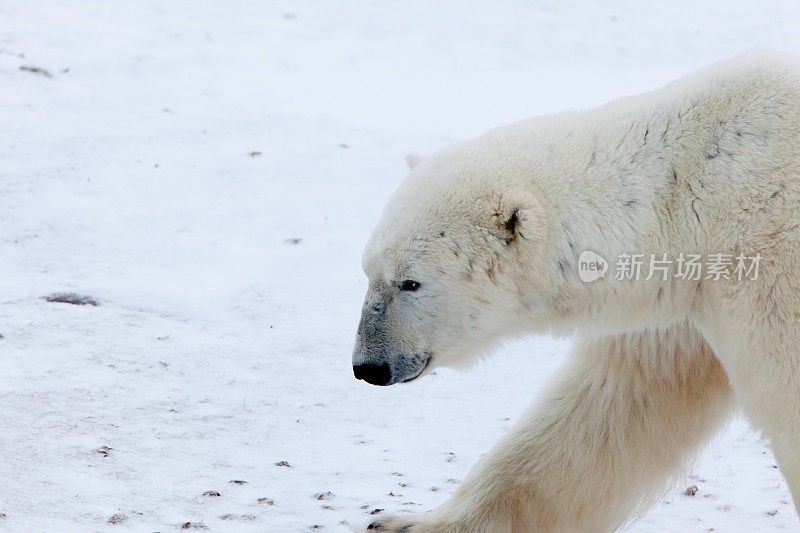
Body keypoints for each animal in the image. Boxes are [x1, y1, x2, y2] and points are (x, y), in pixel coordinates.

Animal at [354, 52, 800, 528]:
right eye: (368, 271)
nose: (368, 366)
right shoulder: (680, 303)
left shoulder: (767, 262)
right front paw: (406, 523)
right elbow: (609, 409)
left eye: (410, 282)